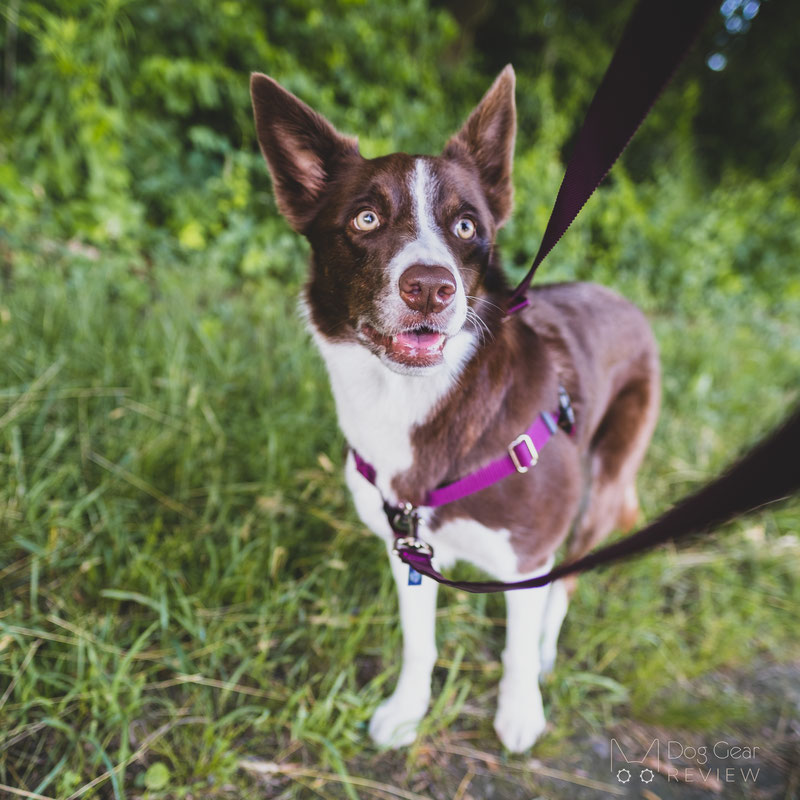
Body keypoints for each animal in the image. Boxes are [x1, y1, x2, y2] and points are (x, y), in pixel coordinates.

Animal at [252, 65, 664, 752]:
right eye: (366, 218)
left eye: (467, 227)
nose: (430, 287)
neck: (415, 403)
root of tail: (625, 300)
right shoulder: (409, 549)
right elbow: (419, 643)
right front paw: (406, 712)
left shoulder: (529, 554)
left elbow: (517, 646)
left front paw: (519, 712)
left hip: (604, 484)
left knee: (568, 580)